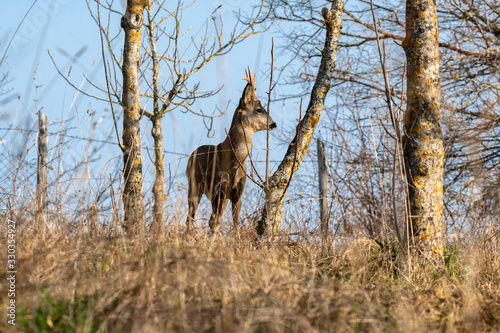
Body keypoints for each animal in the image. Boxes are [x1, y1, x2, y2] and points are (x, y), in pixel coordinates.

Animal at [186, 68, 278, 232]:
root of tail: (191, 155)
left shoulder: (237, 192)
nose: (274, 124)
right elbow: (214, 222)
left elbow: (236, 224)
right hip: (194, 184)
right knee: (191, 218)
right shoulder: (218, 188)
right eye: (259, 110)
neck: (235, 158)